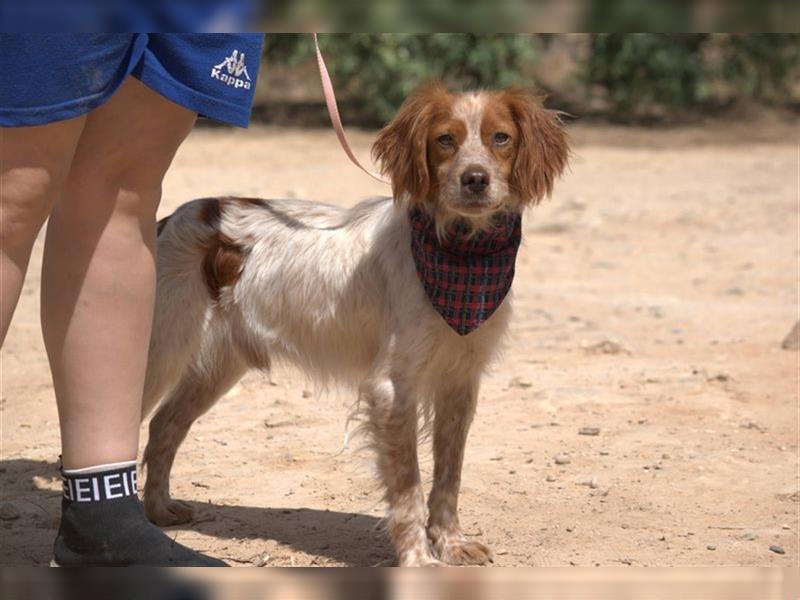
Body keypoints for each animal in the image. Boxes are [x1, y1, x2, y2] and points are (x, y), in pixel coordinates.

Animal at [142, 82, 568, 564]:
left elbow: (448, 475)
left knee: (164, 425)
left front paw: (450, 542)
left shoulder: (460, 382)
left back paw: (158, 511)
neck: (460, 253)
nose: (474, 178)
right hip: (158, 351)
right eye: (445, 139)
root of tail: (170, 220)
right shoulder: (392, 389)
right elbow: (408, 488)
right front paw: (418, 559)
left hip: (216, 367)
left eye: (501, 138)